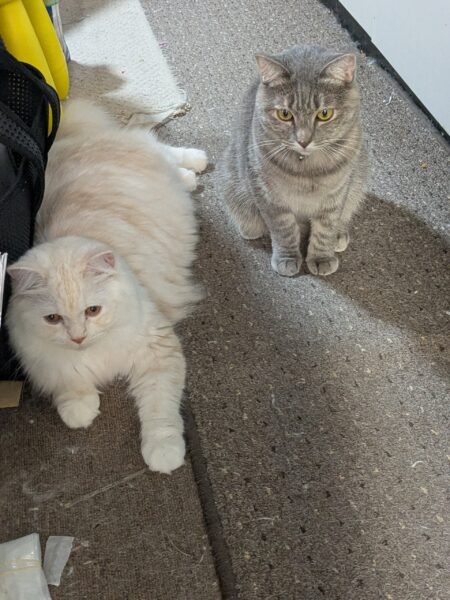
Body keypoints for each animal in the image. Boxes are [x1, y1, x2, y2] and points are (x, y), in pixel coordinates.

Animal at [6, 100, 208, 474]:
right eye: (53, 319)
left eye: (93, 311)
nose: (78, 338)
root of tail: (69, 139)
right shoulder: (49, 364)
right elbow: (71, 389)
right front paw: (80, 411)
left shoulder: (158, 350)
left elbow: (160, 413)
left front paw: (164, 454)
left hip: (149, 155)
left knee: (164, 147)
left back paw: (196, 165)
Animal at [219, 44, 368, 276]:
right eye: (285, 114)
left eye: (325, 114)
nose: (303, 141)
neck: (307, 169)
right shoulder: (269, 196)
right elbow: (284, 230)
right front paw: (287, 258)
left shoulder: (337, 194)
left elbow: (326, 227)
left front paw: (321, 257)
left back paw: (339, 235)